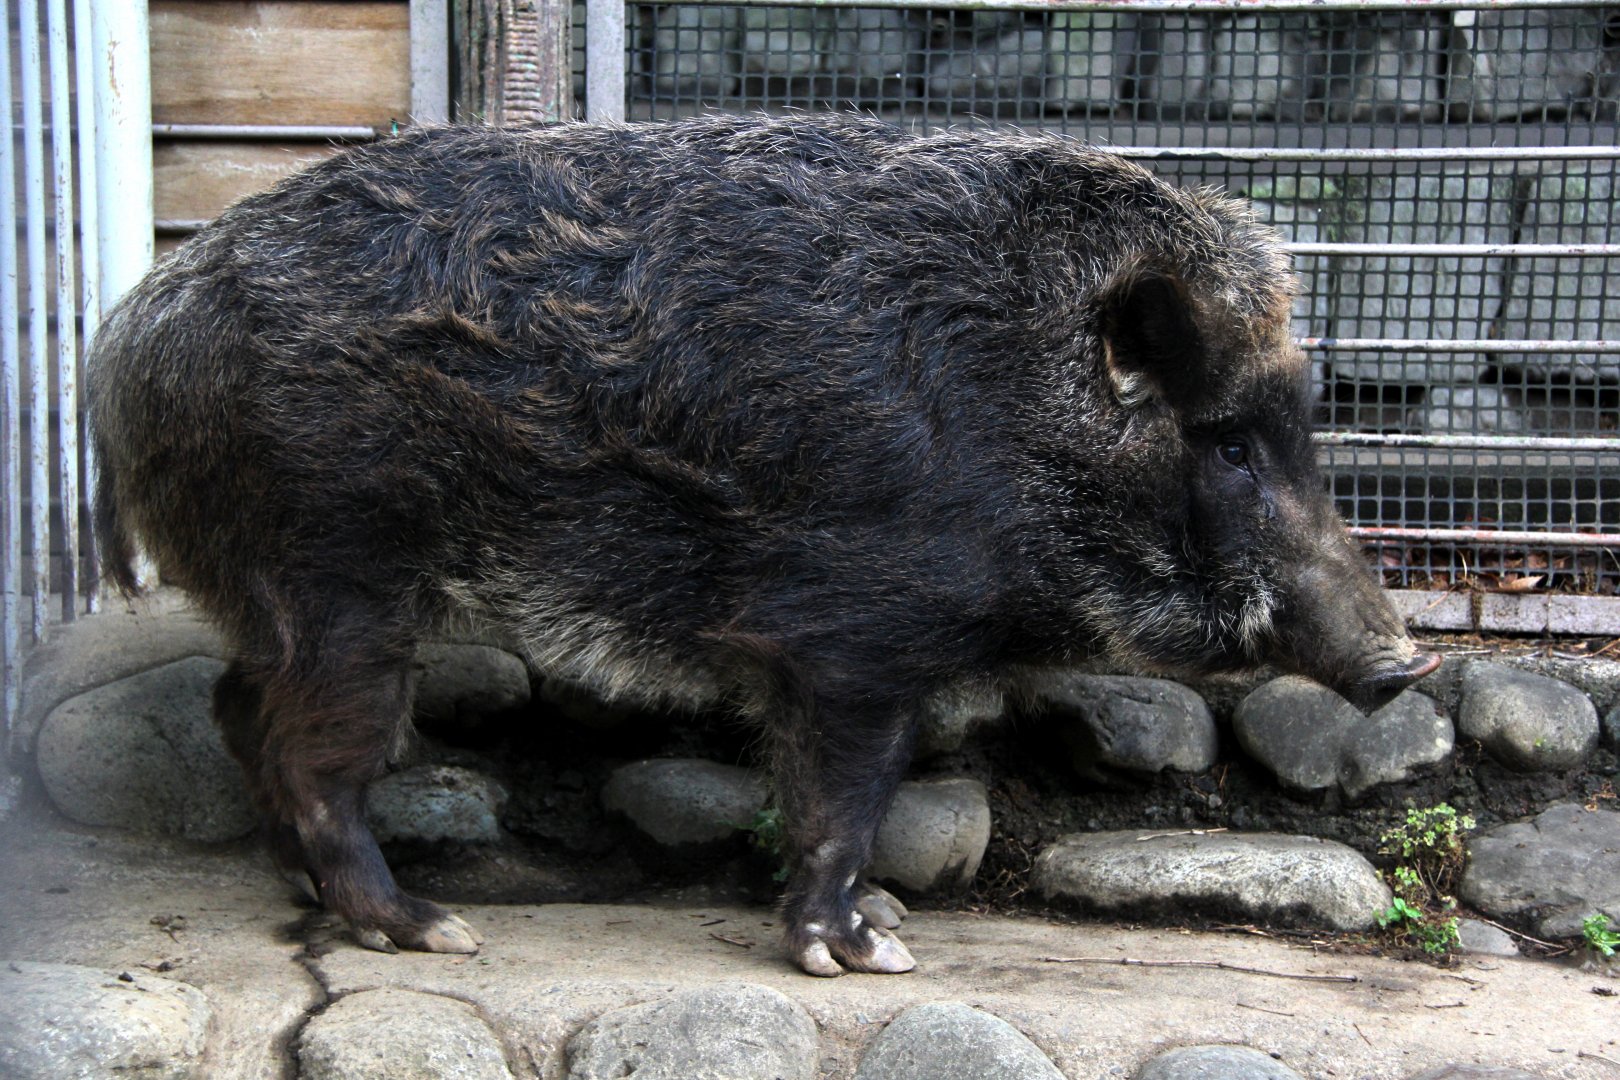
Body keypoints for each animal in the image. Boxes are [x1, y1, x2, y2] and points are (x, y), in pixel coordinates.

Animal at [88, 113, 1439, 977]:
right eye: (1228, 443)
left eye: (1299, 429)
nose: (1408, 662)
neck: (1021, 415)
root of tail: (127, 337)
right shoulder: (850, 636)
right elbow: (846, 792)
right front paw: (865, 954)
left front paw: (886, 922)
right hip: (337, 579)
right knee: (316, 754)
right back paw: (427, 929)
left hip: (280, 592)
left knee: (233, 704)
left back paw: (306, 893)